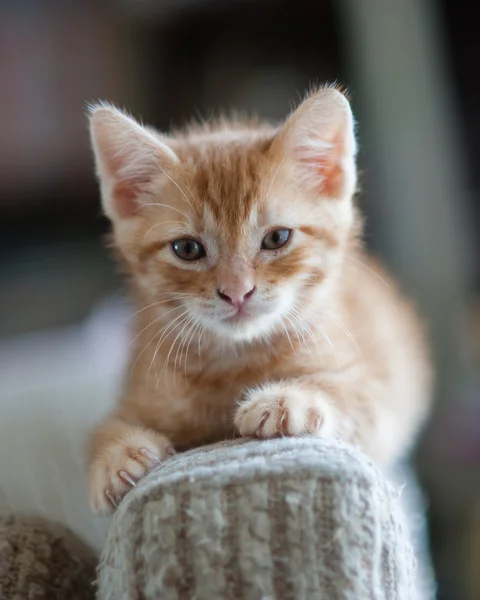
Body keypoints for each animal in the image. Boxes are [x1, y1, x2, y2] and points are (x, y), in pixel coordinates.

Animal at [86, 86, 432, 512]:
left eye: (277, 238)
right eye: (187, 249)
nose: (237, 291)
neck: (233, 362)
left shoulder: (380, 391)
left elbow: (353, 394)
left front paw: (287, 401)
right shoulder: (137, 392)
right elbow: (104, 428)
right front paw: (117, 455)